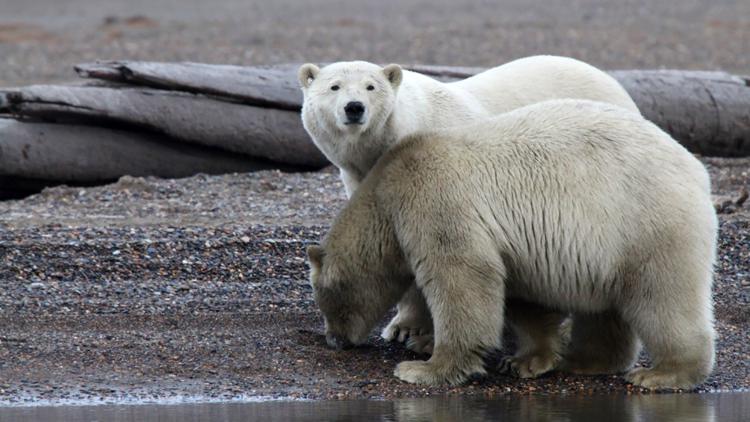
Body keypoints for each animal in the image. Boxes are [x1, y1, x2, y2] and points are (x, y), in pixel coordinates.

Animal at [308, 99, 720, 390]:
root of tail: (697, 170)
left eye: (325, 297)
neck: (386, 192)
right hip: (612, 245)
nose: (334, 340)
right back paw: (585, 360)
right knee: (607, 306)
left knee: (663, 297)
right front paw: (525, 361)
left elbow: (463, 278)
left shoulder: (434, 200)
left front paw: (422, 367)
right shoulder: (515, 245)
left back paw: (663, 374)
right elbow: (523, 297)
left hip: (645, 221)